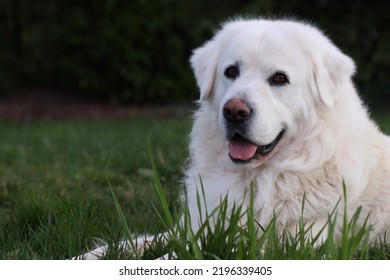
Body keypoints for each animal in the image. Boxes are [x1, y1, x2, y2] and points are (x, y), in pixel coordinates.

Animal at [77, 17, 390, 260]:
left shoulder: (283, 246)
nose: (234, 111)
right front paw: (85, 256)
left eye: (279, 78)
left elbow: (178, 256)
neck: (254, 177)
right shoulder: (196, 225)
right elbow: (132, 243)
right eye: (231, 72)